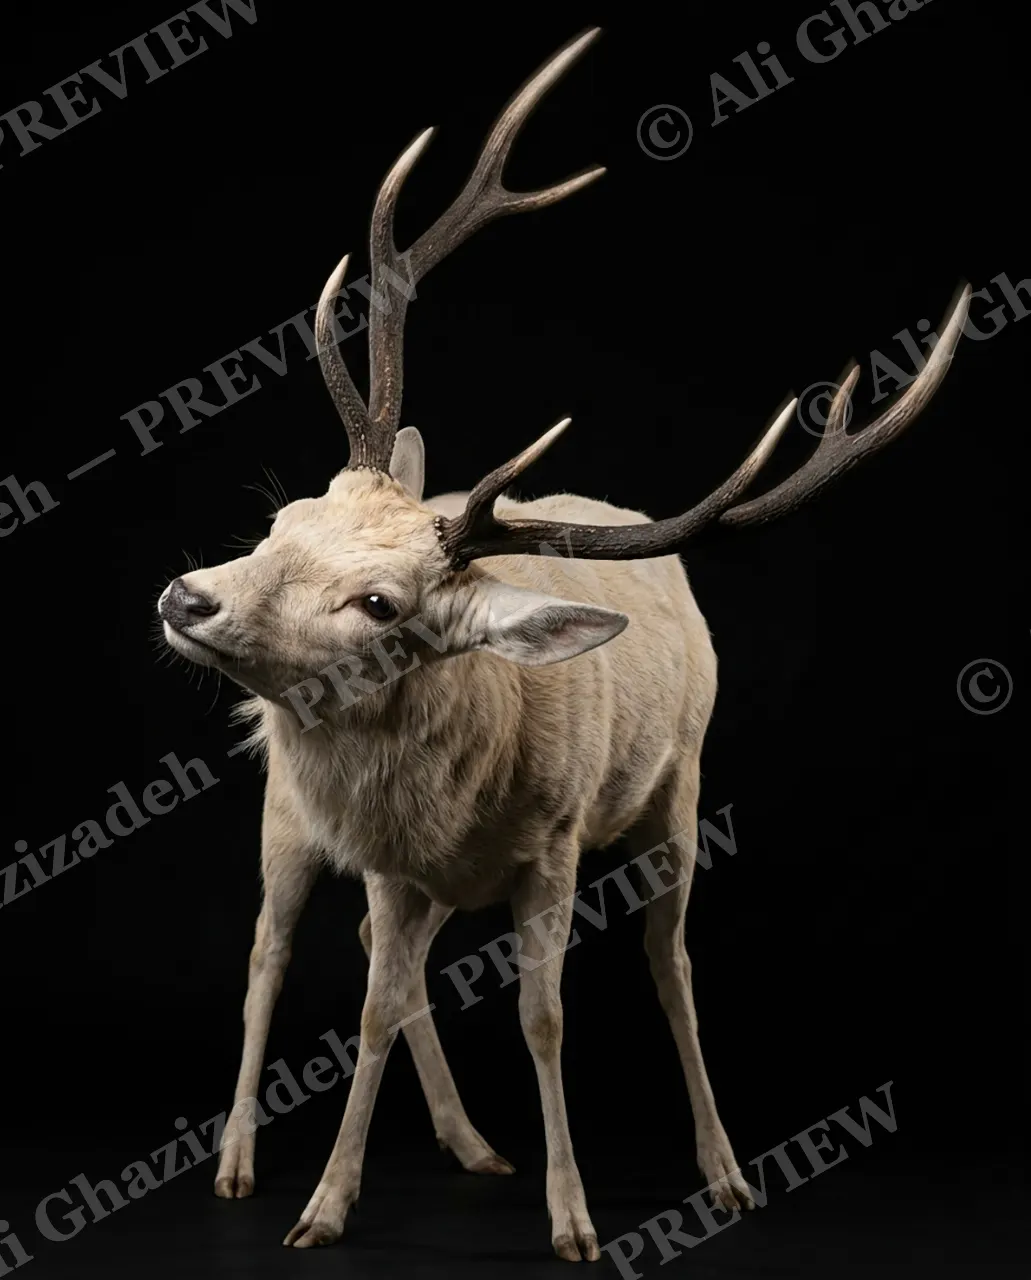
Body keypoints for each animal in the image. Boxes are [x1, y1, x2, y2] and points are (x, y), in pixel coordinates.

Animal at [157, 26, 969, 1262]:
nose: (188, 594)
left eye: (380, 604)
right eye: (284, 515)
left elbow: (547, 1012)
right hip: (287, 820)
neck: (464, 782)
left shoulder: (556, 842)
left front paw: (580, 1215)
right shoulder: (389, 854)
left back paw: (569, 1152)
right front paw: (323, 1206)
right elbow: (367, 1001)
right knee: (275, 953)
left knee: (655, 965)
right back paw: (244, 1162)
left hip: (667, 795)